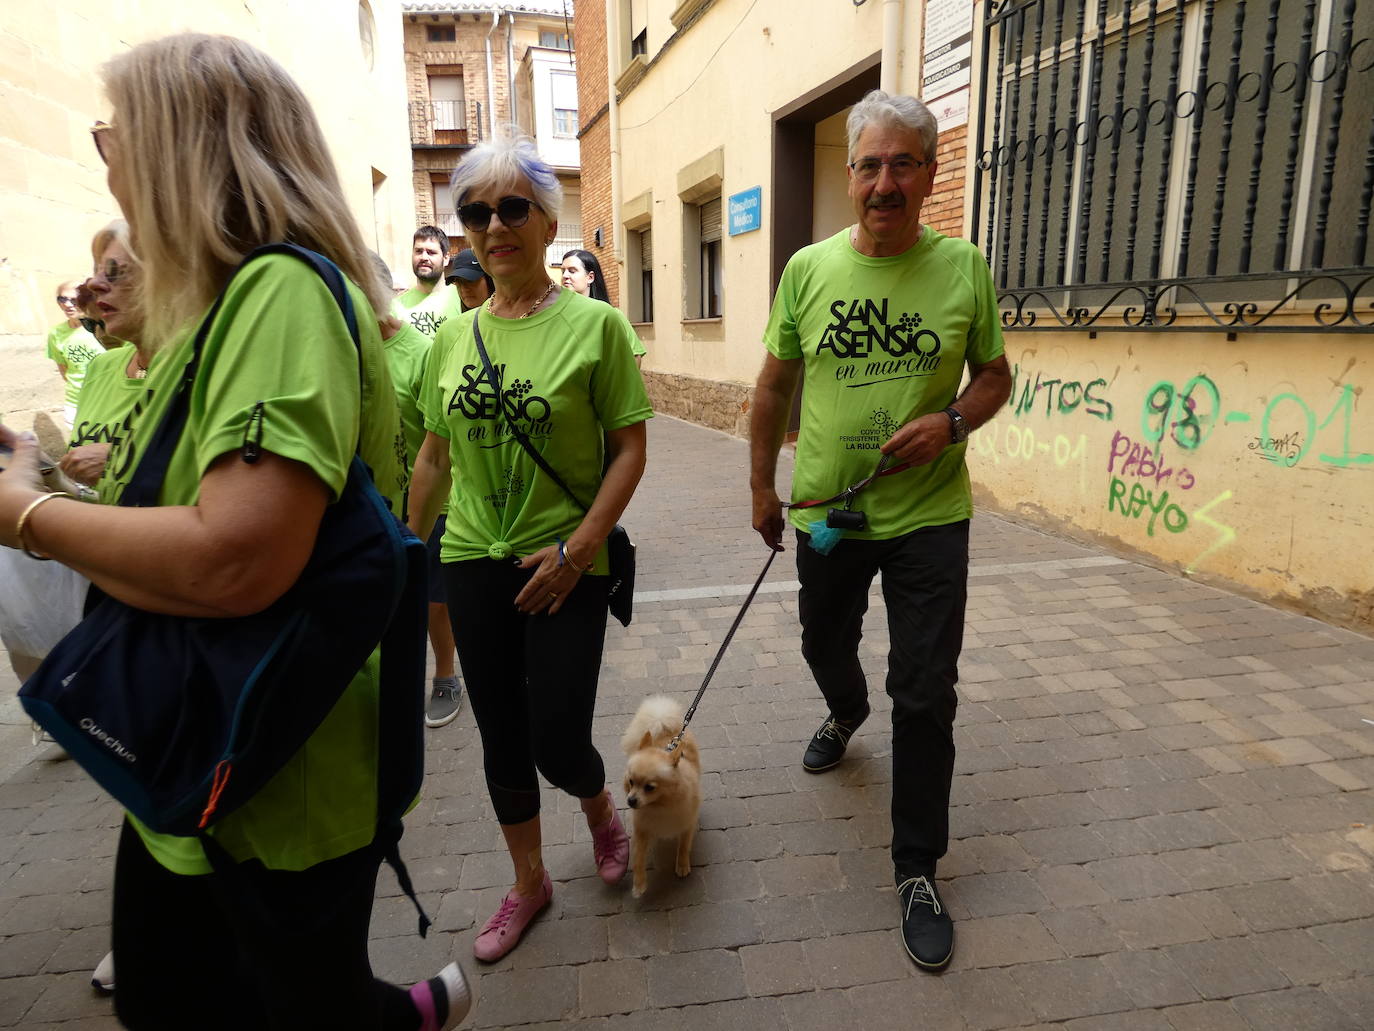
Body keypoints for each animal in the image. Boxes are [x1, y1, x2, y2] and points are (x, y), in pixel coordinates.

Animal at [626, 698, 703, 901]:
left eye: (649, 787)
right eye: (631, 782)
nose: (630, 800)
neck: (659, 805)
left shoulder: (686, 823)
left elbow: (683, 846)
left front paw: (682, 865)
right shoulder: (642, 830)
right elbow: (638, 859)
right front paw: (639, 885)